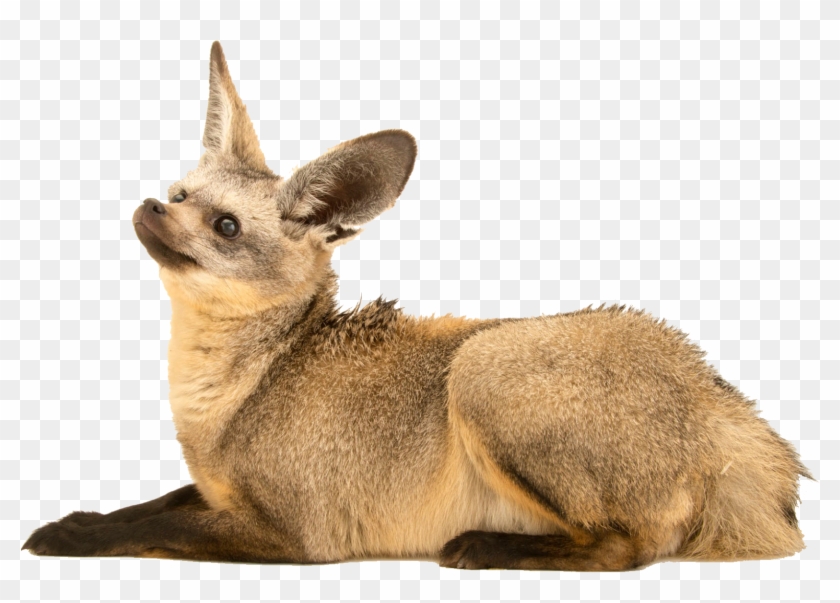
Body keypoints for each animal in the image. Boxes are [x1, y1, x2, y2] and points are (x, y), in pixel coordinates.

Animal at [22, 41, 811, 571]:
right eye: (179, 192)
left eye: (225, 227)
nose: (151, 206)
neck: (238, 391)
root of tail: (725, 413)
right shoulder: (217, 494)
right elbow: (152, 503)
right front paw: (78, 514)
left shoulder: (293, 534)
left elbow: (152, 529)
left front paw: (72, 535)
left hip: (483, 368)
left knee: (627, 549)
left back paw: (489, 548)